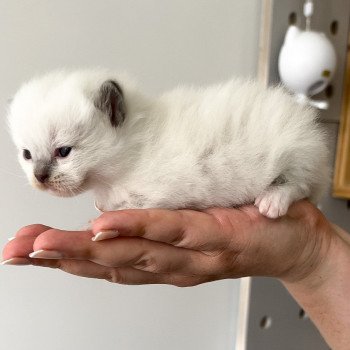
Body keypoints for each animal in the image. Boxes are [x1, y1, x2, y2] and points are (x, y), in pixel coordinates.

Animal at [8, 68, 330, 217]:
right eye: (27, 155)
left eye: (64, 151)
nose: (39, 177)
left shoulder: (157, 192)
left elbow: (127, 203)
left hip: (298, 150)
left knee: (299, 184)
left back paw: (272, 200)